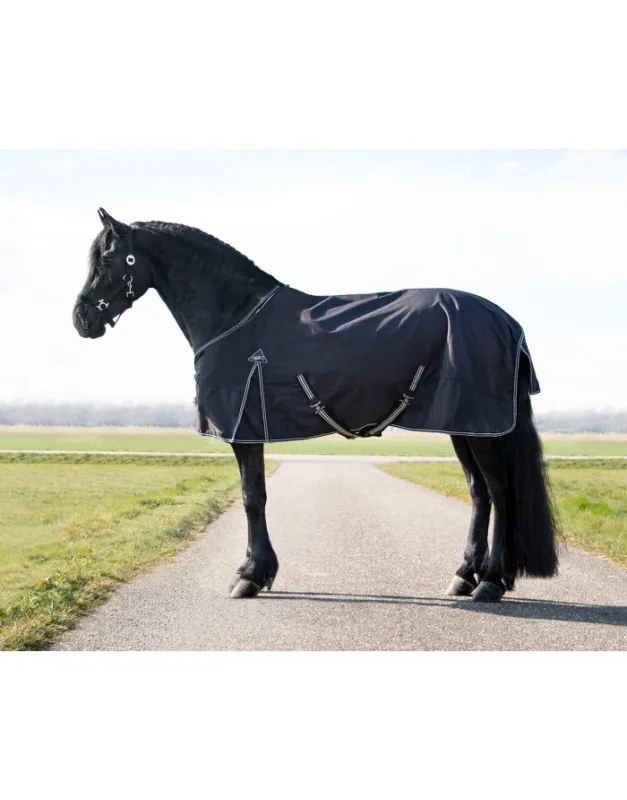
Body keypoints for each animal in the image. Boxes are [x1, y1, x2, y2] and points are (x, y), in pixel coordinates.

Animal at [72, 208, 558, 602]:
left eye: (109, 259)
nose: (82, 319)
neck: (235, 314)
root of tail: (506, 321)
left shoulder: (244, 429)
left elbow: (253, 497)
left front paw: (250, 576)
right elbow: (254, 496)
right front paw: (256, 571)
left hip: (482, 429)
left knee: (500, 492)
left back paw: (491, 582)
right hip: (467, 425)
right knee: (480, 493)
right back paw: (464, 576)